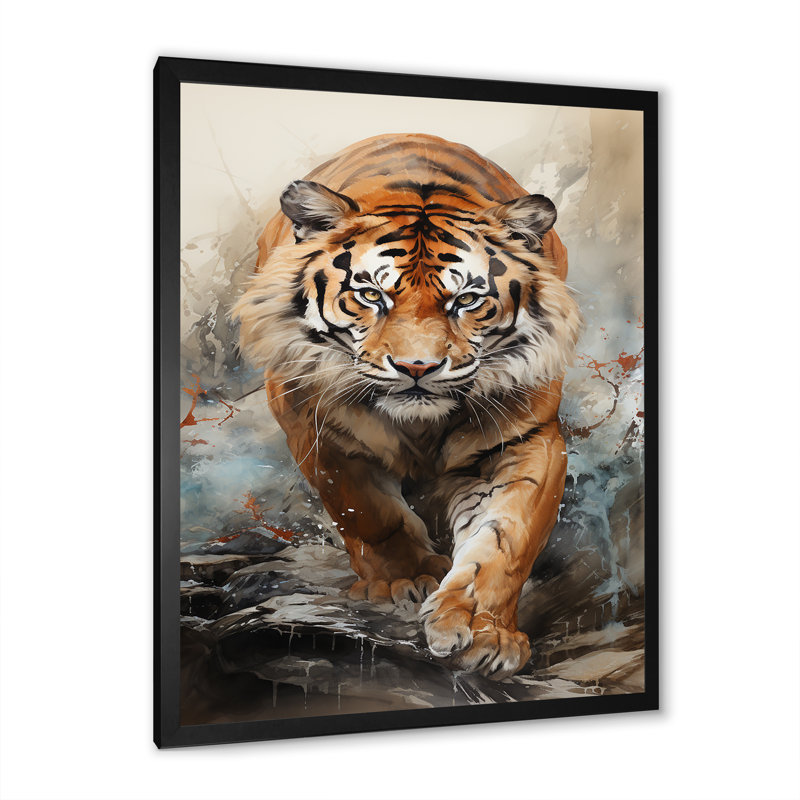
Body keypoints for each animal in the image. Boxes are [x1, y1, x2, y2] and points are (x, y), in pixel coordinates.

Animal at [233, 133, 581, 679]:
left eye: (466, 300)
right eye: (371, 294)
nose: (417, 367)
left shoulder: (529, 438)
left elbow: (506, 538)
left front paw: (481, 631)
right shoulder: (317, 430)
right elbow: (369, 513)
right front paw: (408, 580)